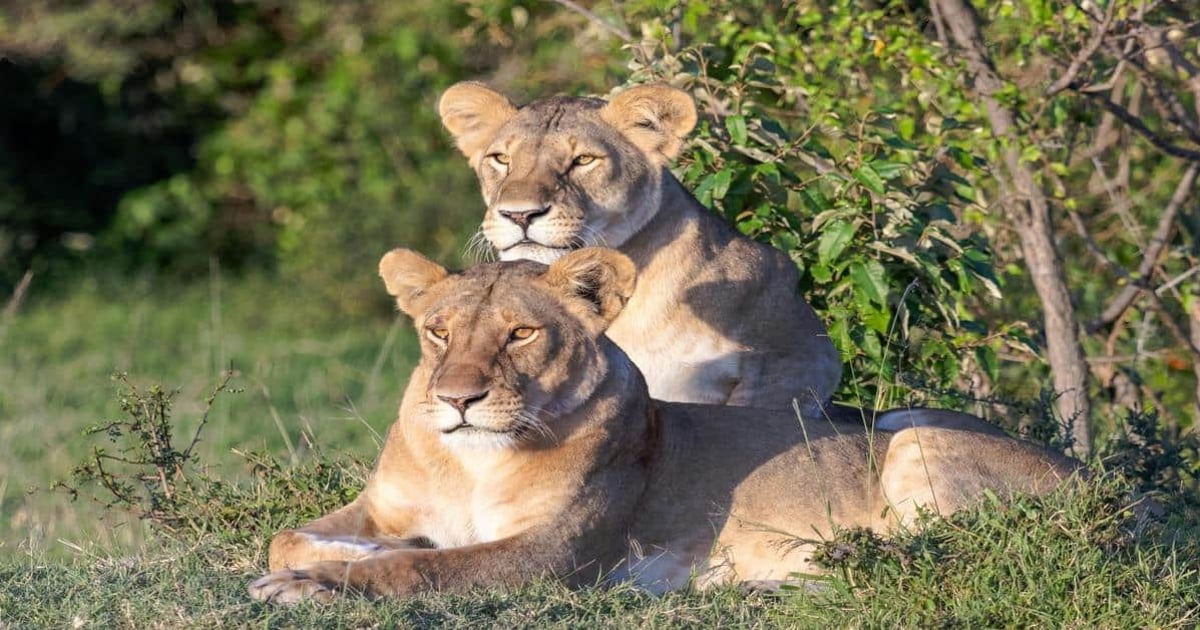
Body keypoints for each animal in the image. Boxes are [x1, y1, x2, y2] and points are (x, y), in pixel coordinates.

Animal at [248, 248, 1080, 603]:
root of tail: (1103, 484)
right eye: (438, 333)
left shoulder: (554, 552)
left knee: (937, 561)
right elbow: (289, 534)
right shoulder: (385, 507)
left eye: (520, 334)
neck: (471, 461)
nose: (457, 399)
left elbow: (427, 569)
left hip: (913, 439)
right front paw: (322, 558)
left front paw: (314, 585)